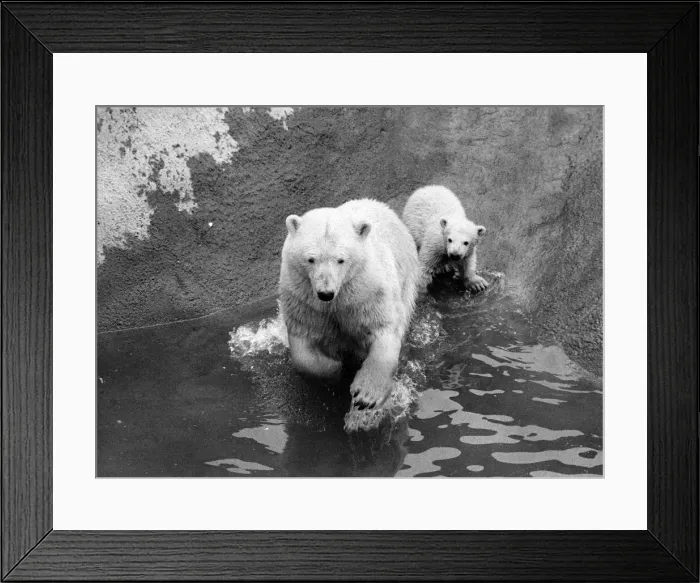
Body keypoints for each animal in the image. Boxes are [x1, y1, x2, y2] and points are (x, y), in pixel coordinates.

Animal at [278, 198, 421, 414]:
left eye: (341, 260)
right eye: (310, 259)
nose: (325, 293)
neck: (337, 300)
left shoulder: (368, 292)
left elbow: (382, 330)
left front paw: (367, 396)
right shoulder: (303, 299)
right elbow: (304, 343)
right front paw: (334, 368)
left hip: (406, 276)